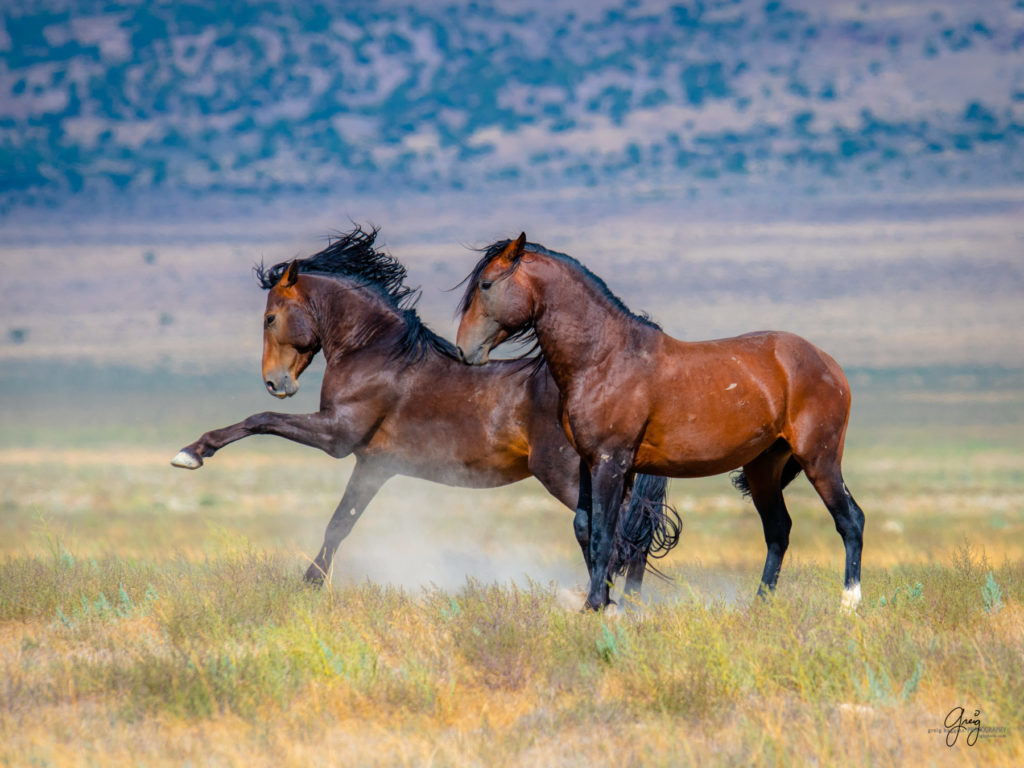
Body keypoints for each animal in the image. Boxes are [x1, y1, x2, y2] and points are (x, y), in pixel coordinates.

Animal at [169, 225, 679, 598]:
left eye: (270, 318)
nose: (276, 383)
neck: (376, 352)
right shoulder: (373, 464)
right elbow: (340, 522)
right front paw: (311, 583)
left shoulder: (337, 435)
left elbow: (259, 421)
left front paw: (192, 452)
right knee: (633, 529)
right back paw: (628, 603)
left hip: (571, 473)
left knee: (621, 528)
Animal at [456, 234, 864, 614]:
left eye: (486, 285)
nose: (464, 349)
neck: (605, 357)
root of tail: (828, 363)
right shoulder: (591, 464)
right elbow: (589, 529)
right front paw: (603, 602)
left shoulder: (611, 462)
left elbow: (605, 533)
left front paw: (595, 605)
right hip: (764, 465)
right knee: (778, 531)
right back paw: (760, 606)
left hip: (819, 460)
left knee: (850, 521)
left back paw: (849, 604)